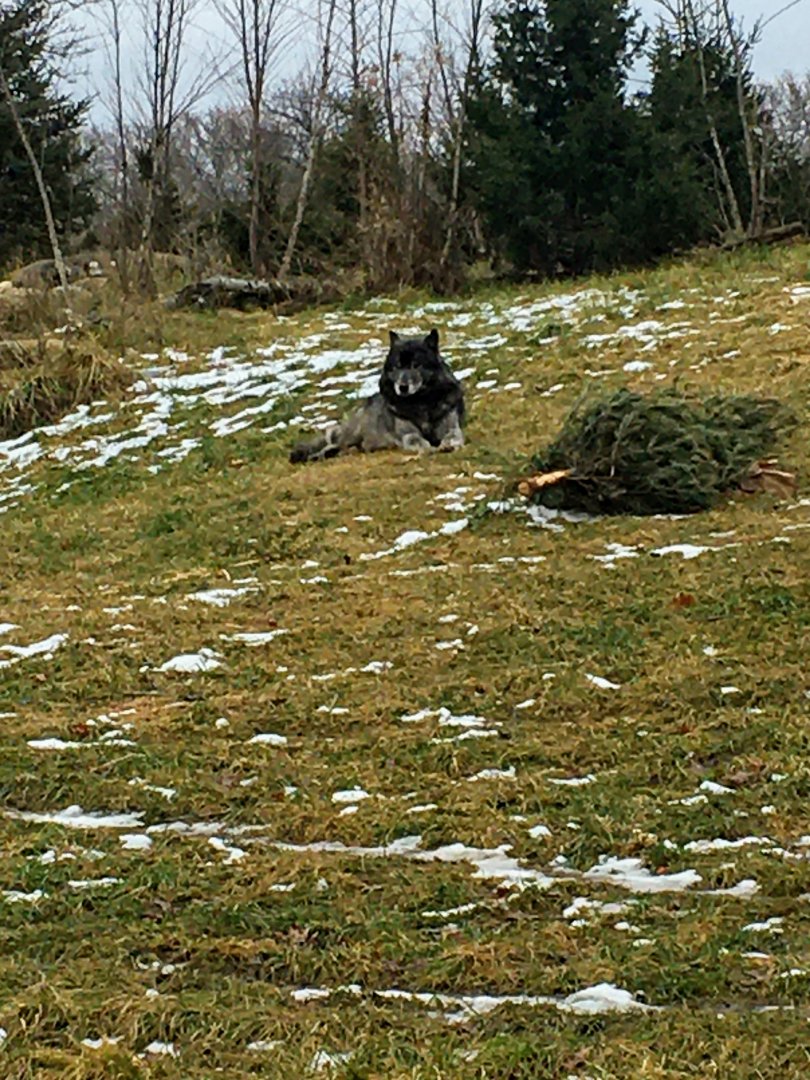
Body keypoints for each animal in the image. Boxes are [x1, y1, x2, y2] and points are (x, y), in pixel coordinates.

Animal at [289, 328, 465, 464]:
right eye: (397, 366)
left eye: (416, 365)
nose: (402, 387)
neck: (420, 402)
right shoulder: (407, 434)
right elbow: (417, 440)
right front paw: (427, 448)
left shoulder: (451, 426)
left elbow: (453, 435)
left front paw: (447, 445)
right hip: (351, 435)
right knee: (331, 445)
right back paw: (314, 456)